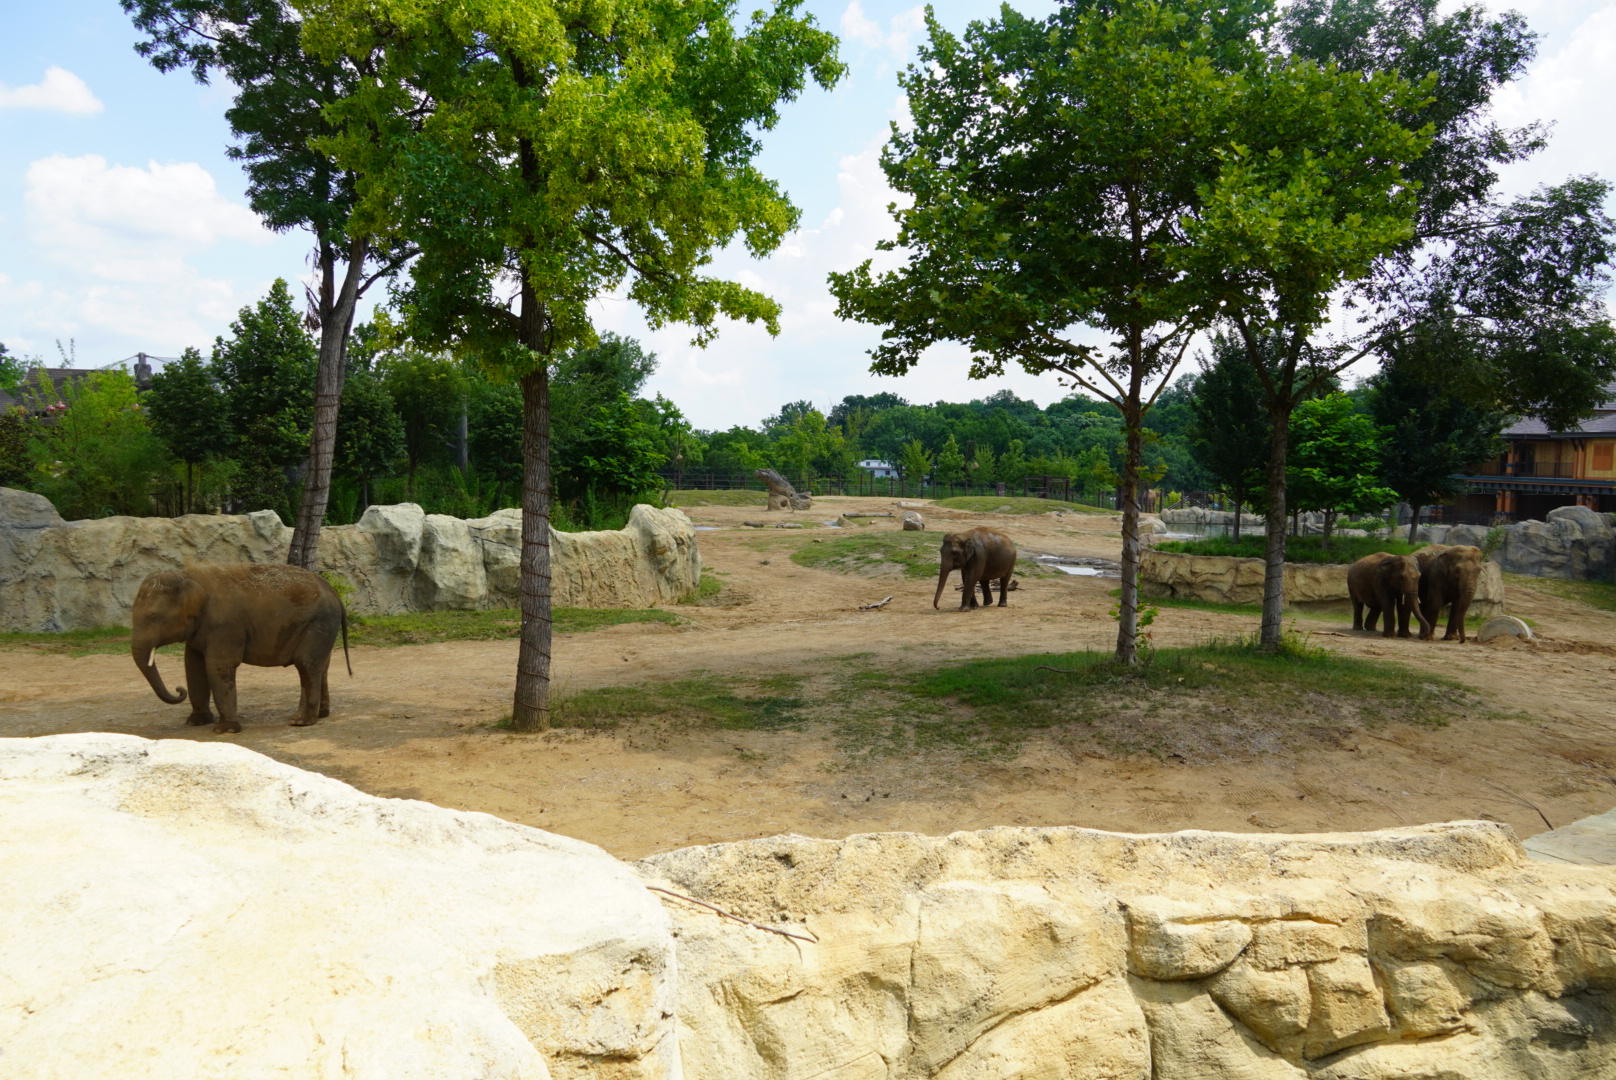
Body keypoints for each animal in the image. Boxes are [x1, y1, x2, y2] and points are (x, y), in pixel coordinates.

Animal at [132, 563, 350, 734]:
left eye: (154, 617)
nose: (178, 690)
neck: (187, 574)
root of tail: (334, 593)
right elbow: (194, 667)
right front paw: (196, 722)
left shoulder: (226, 626)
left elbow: (219, 666)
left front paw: (225, 730)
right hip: (325, 627)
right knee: (321, 667)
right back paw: (321, 715)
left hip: (319, 622)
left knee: (306, 665)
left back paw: (301, 722)